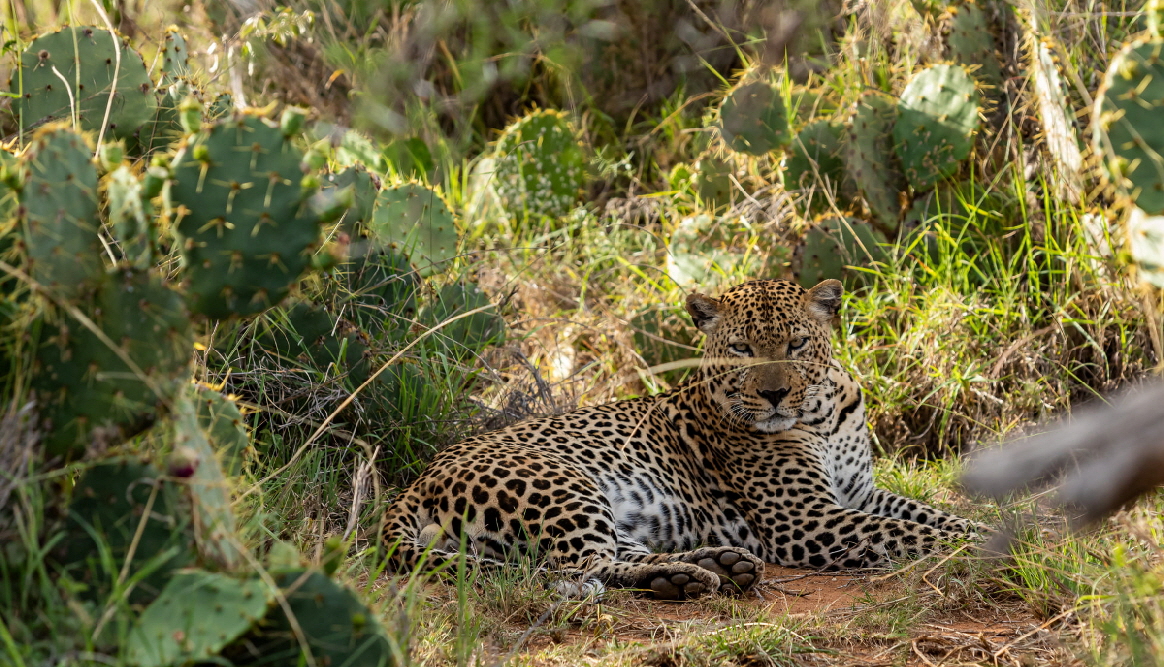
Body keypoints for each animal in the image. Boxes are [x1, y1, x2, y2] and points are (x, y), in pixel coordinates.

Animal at [381, 278, 982, 600]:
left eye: (794, 344)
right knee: (580, 569)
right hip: (564, 485)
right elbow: (906, 532)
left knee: (617, 553)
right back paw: (692, 574)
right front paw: (983, 545)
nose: (773, 394)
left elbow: (929, 515)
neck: (822, 413)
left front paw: (985, 527)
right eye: (740, 349)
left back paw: (712, 567)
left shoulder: (858, 493)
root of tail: (421, 477)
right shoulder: (806, 519)